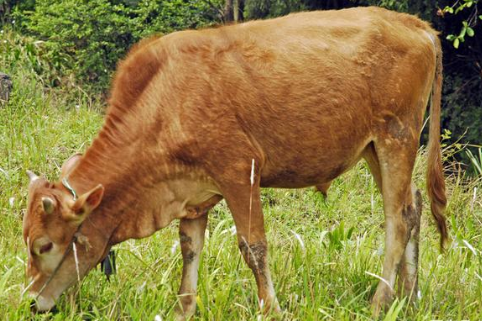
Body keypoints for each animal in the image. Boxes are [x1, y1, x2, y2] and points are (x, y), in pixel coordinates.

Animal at [24, 6, 448, 318]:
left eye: (44, 245)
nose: (32, 301)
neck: (165, 99)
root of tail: (415, 25)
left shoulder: (240, 172)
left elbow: (253, 247)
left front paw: (271, 309)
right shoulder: (192, 193)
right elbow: (189, 250)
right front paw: (183, 310)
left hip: (397, 137)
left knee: (396, 220)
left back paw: (380, 302)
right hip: (375, 148)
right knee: (413, 208)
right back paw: (408, 298)